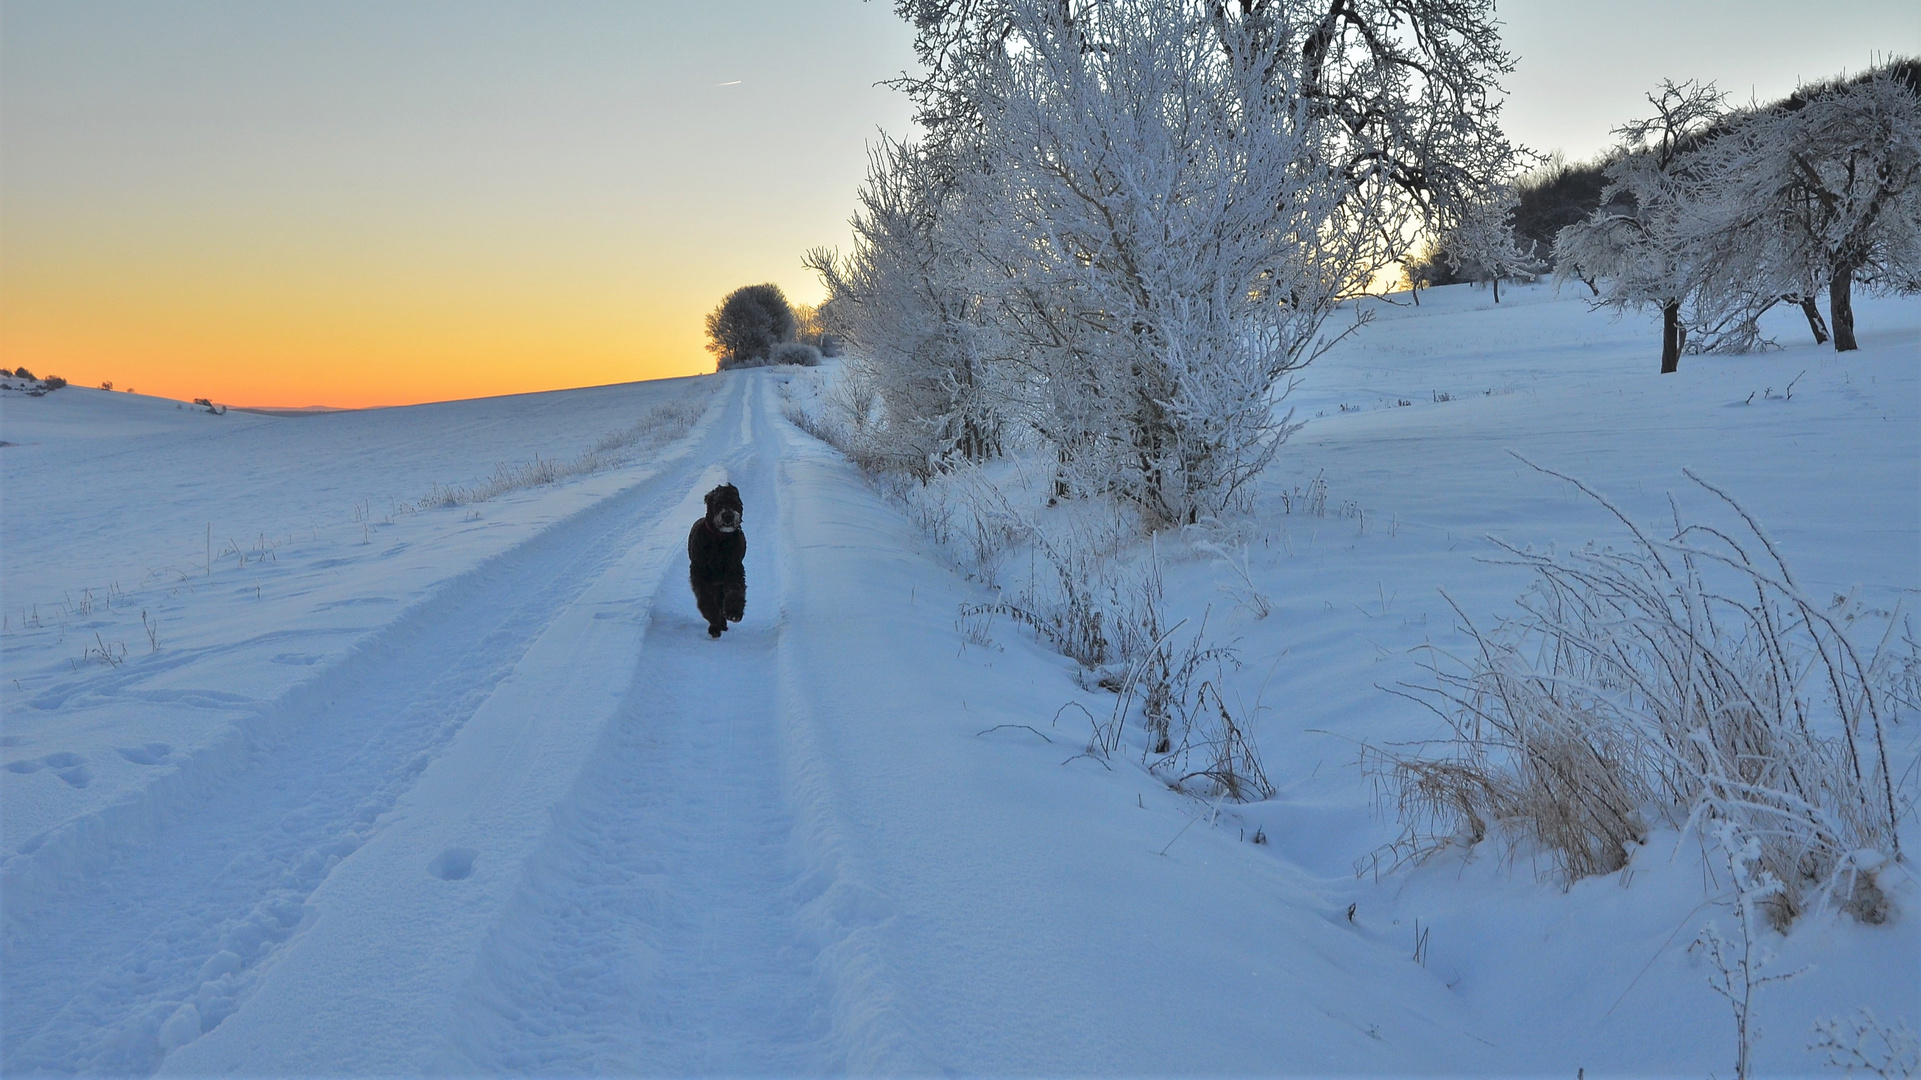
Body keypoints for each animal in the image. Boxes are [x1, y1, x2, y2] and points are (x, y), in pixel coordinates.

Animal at [687, 484, 745, 634]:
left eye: (734, 502)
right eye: (717, 503)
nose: (728, 516)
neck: (720, 539)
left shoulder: (734, 569)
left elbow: (735, 590)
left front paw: (734, 612)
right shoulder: (699, 573)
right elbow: (704, 598)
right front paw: (713, 615)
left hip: (720, 585)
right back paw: (716, 625)